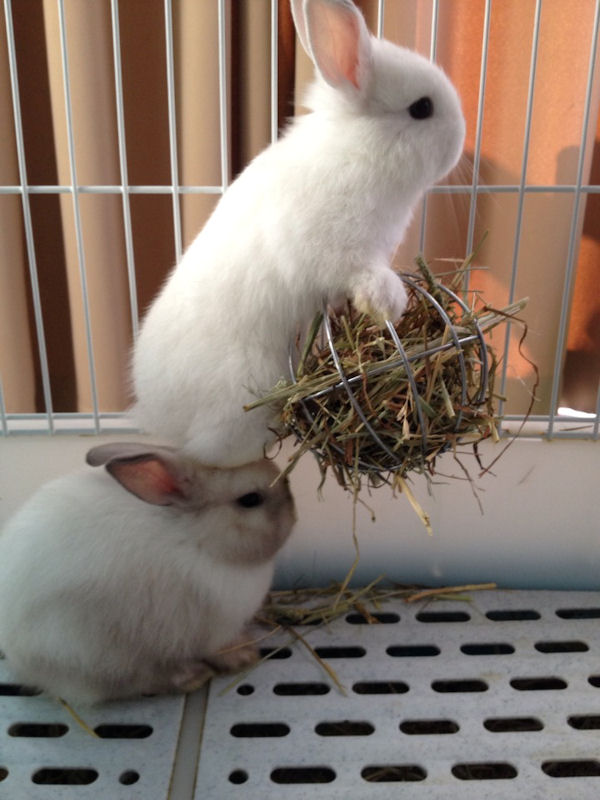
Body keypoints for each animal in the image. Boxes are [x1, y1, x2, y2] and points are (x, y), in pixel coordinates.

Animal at [0, 442, 295, 704]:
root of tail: (18, 658)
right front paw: (244, 656)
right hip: (96, 653)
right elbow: (220, 648)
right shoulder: (214, 630)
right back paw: (191, 676)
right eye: (250, 499)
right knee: (132, 682)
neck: (196, 539)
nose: (293, 512)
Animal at [131, 0, 466, 468]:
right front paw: (390, 305)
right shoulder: (343, 254)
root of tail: (157, 414)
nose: (462, 137)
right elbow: (365, 278)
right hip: (245, 394)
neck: (359, 149)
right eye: (421, 108)